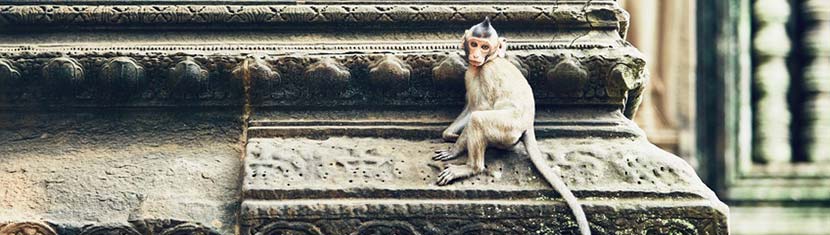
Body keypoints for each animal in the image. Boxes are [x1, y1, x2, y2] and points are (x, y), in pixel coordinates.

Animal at [432, 17, 596, 235]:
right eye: (474, 43)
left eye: (485, 47)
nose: (476, 55)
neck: (491, 59)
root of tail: (527, 124)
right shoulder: (471, 70)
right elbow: (470, 106)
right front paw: (450, 135)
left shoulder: (484, 71)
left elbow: (479, 108)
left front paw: (455, 149)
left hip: (507, 128)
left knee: (479, 120)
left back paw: (471, 168)